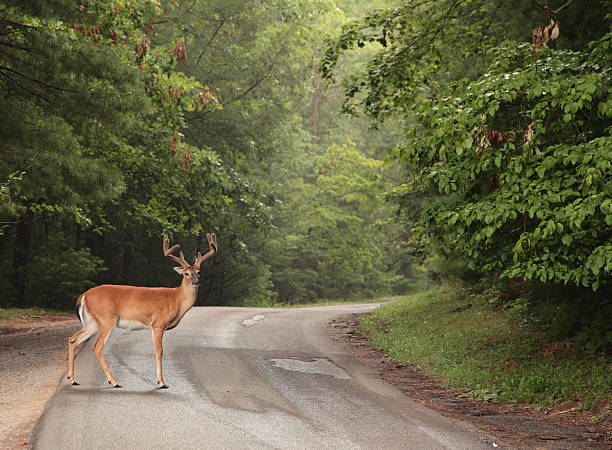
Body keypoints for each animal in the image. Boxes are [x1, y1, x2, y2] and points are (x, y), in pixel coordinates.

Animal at [67, 234, 218, 388]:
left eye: (198, 272)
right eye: (186, 273)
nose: (196, 282)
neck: (176, 299)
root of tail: (83, 295)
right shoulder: (158, 324)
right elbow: (159, 352)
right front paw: (161, 382)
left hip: (92, 322)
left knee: (73, 339)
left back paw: (73, 379)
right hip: (106, 319)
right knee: (96, 346)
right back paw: (114, 382)